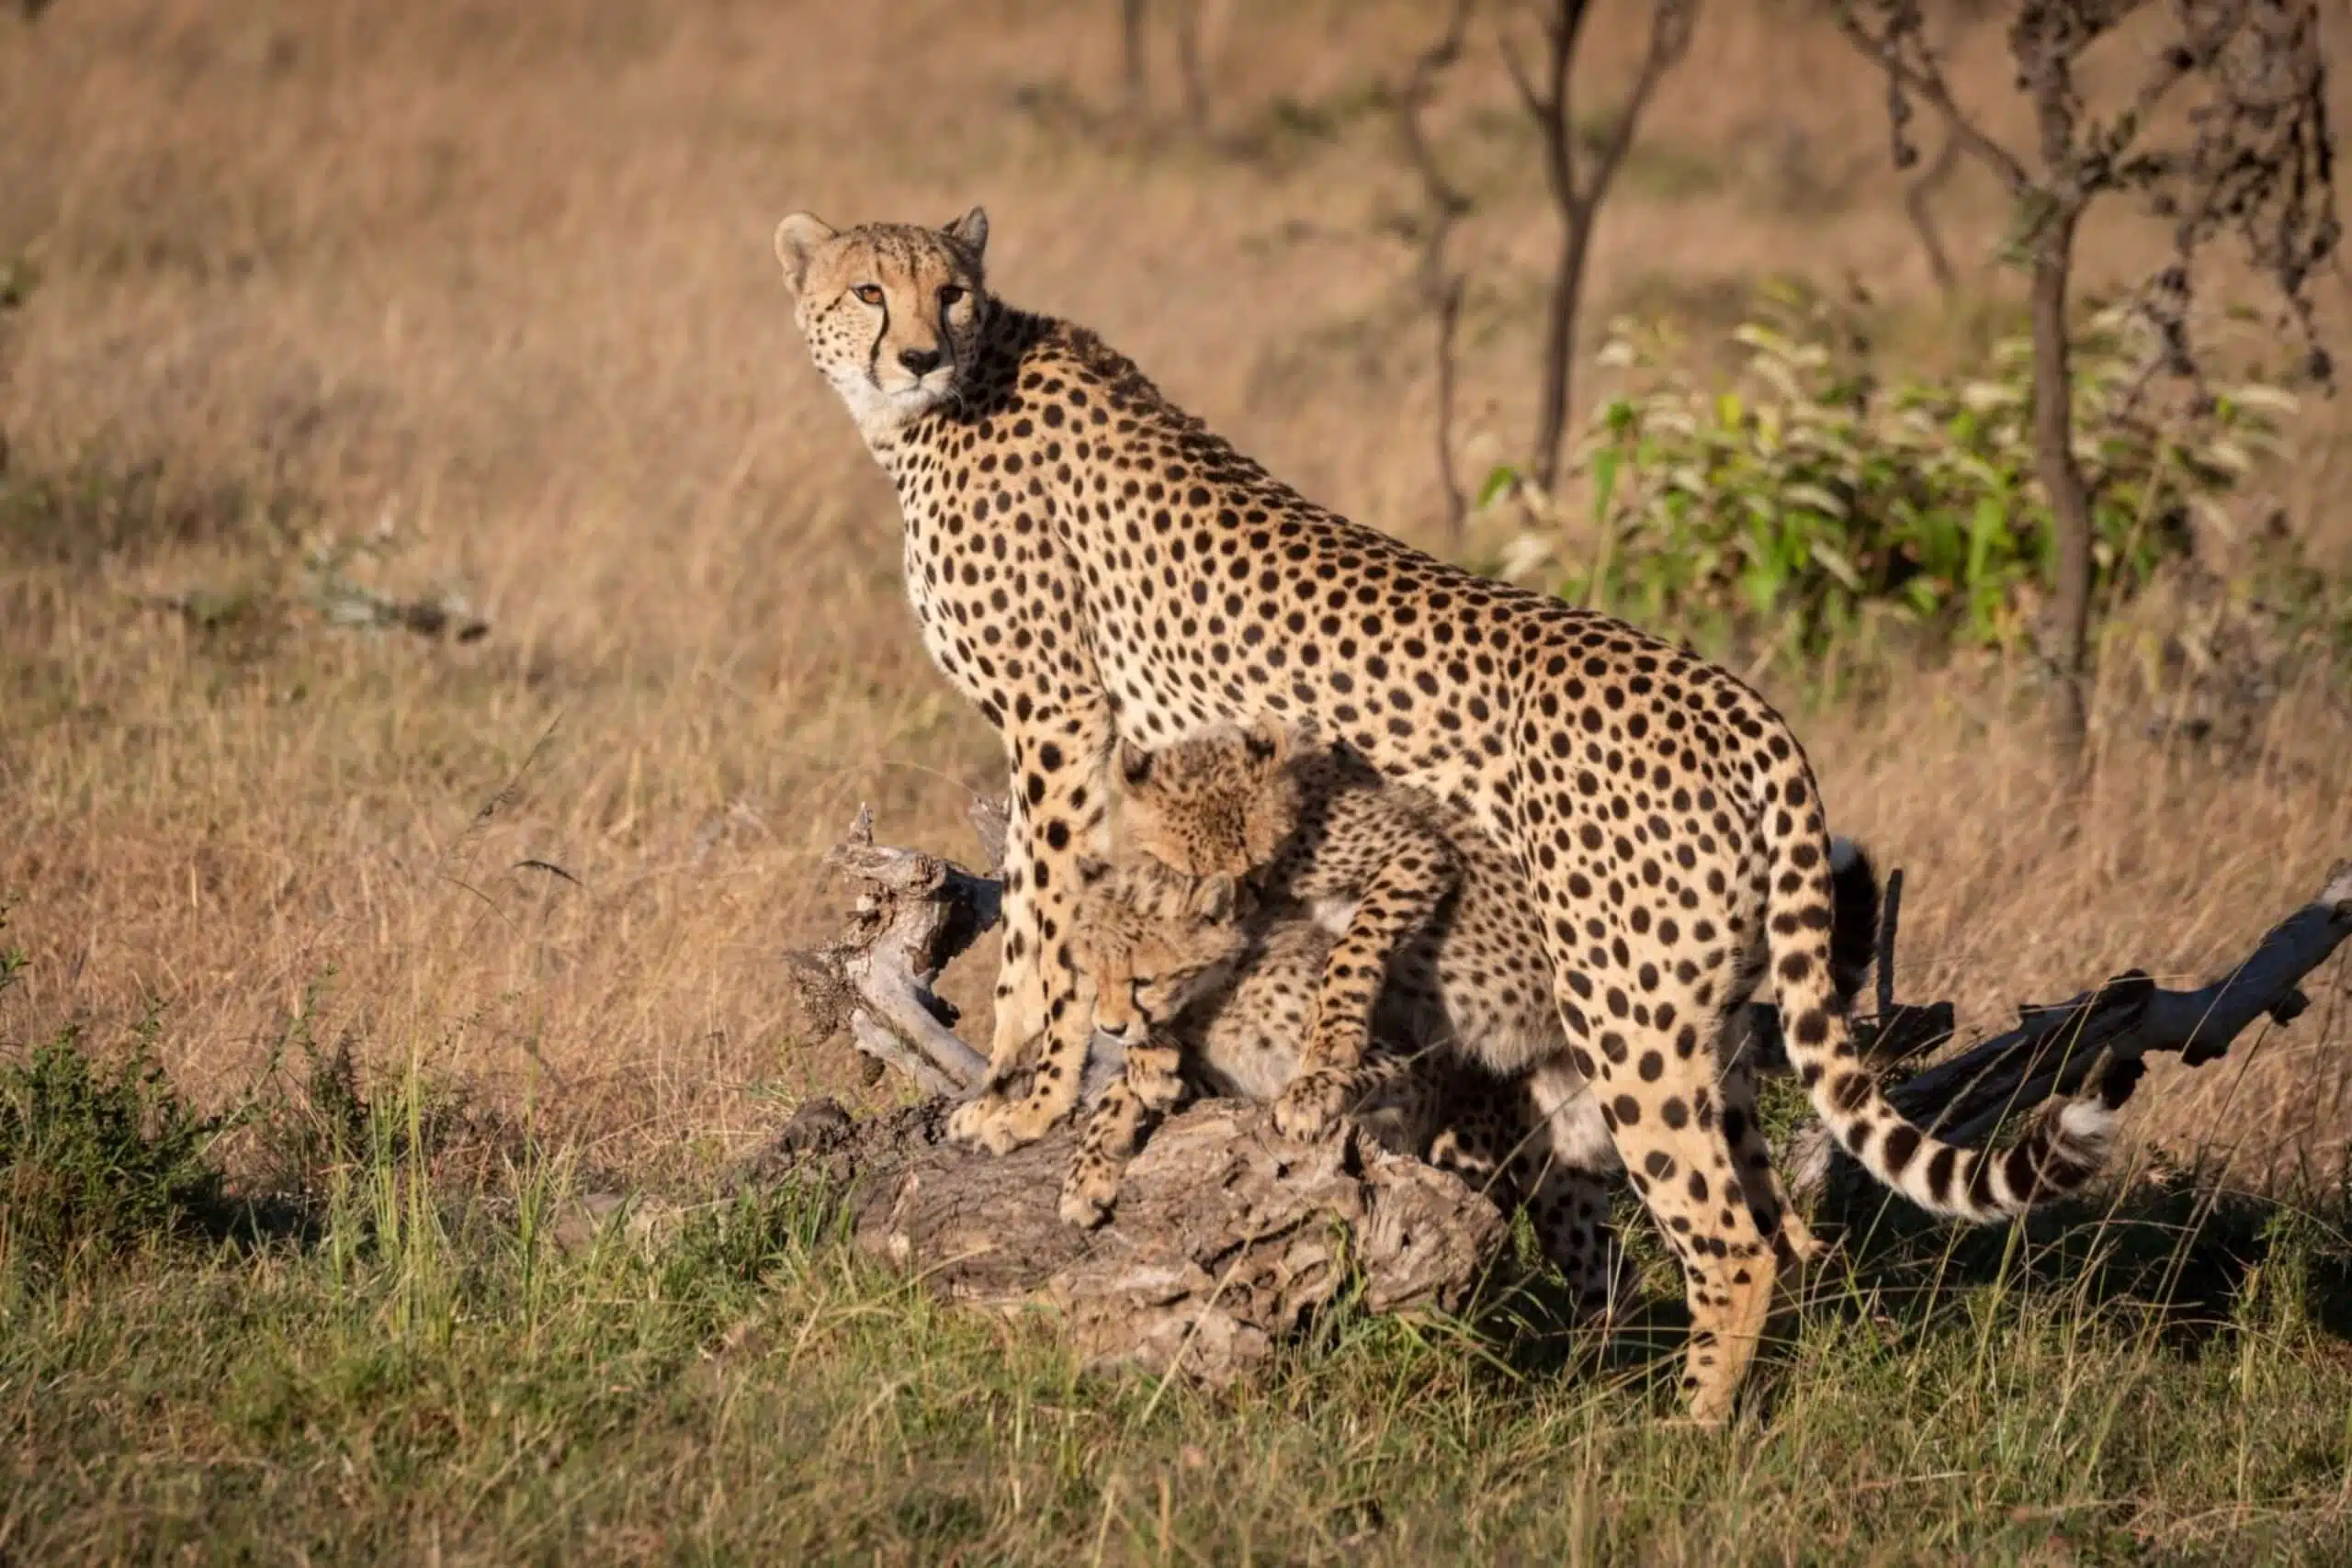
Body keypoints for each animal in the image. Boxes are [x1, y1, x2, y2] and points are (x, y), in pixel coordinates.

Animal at [771, 205, 2135, 1419]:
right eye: (868, 290)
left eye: (950, 292)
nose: (917, 352)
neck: (939, 413)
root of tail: (1742, 703)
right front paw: (1044, 1086)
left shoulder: (1061, 719)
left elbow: (1046, 924)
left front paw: (1023, 1097)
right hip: (1705, 1016)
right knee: (1788, 1226)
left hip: (1627, 1007)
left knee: (1727, 1234)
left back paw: (1681, 1437)